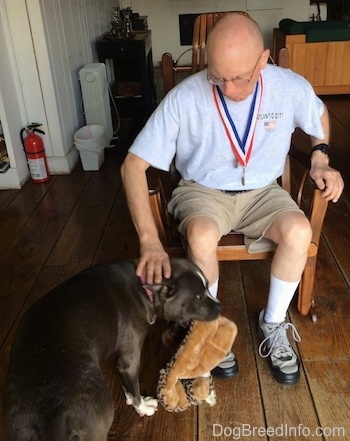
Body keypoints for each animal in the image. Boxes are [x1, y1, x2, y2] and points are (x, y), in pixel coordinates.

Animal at [4, 258, 220, 440]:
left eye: (208, 287)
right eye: (198, 296)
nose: (219, 306)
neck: (146, 288)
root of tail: (52, 420)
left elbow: (127, 386)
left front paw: (131, 399)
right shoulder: (129, 359)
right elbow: (134, 386)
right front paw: (143, 407)